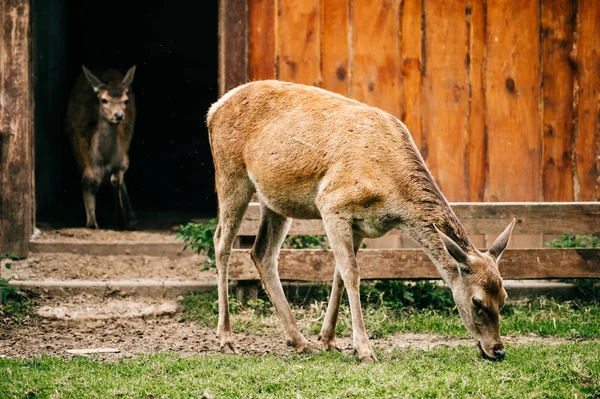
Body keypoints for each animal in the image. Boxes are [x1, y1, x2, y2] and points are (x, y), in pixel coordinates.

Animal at [67, 64, 137, 230]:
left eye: (126, 100)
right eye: (104, 100)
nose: (119, 116)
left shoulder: (123, 161)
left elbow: (117, 179)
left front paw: (120, 220)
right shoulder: (86, 173)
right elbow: (91, 223)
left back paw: (130, 218)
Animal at [206, 80, 516, 362]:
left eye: (504, 297)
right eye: (477, 301)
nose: (498, 350)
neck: (393, 197)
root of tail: (213, 109)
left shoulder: (361, 226)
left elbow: (340, 274)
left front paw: (329, 341)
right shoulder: (332, 203)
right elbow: (352, 273)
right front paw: (364, 349)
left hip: (274, 199)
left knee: (262, 252)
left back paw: (299, 341)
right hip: (230, 174)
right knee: (221, 243)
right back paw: (226, 339)